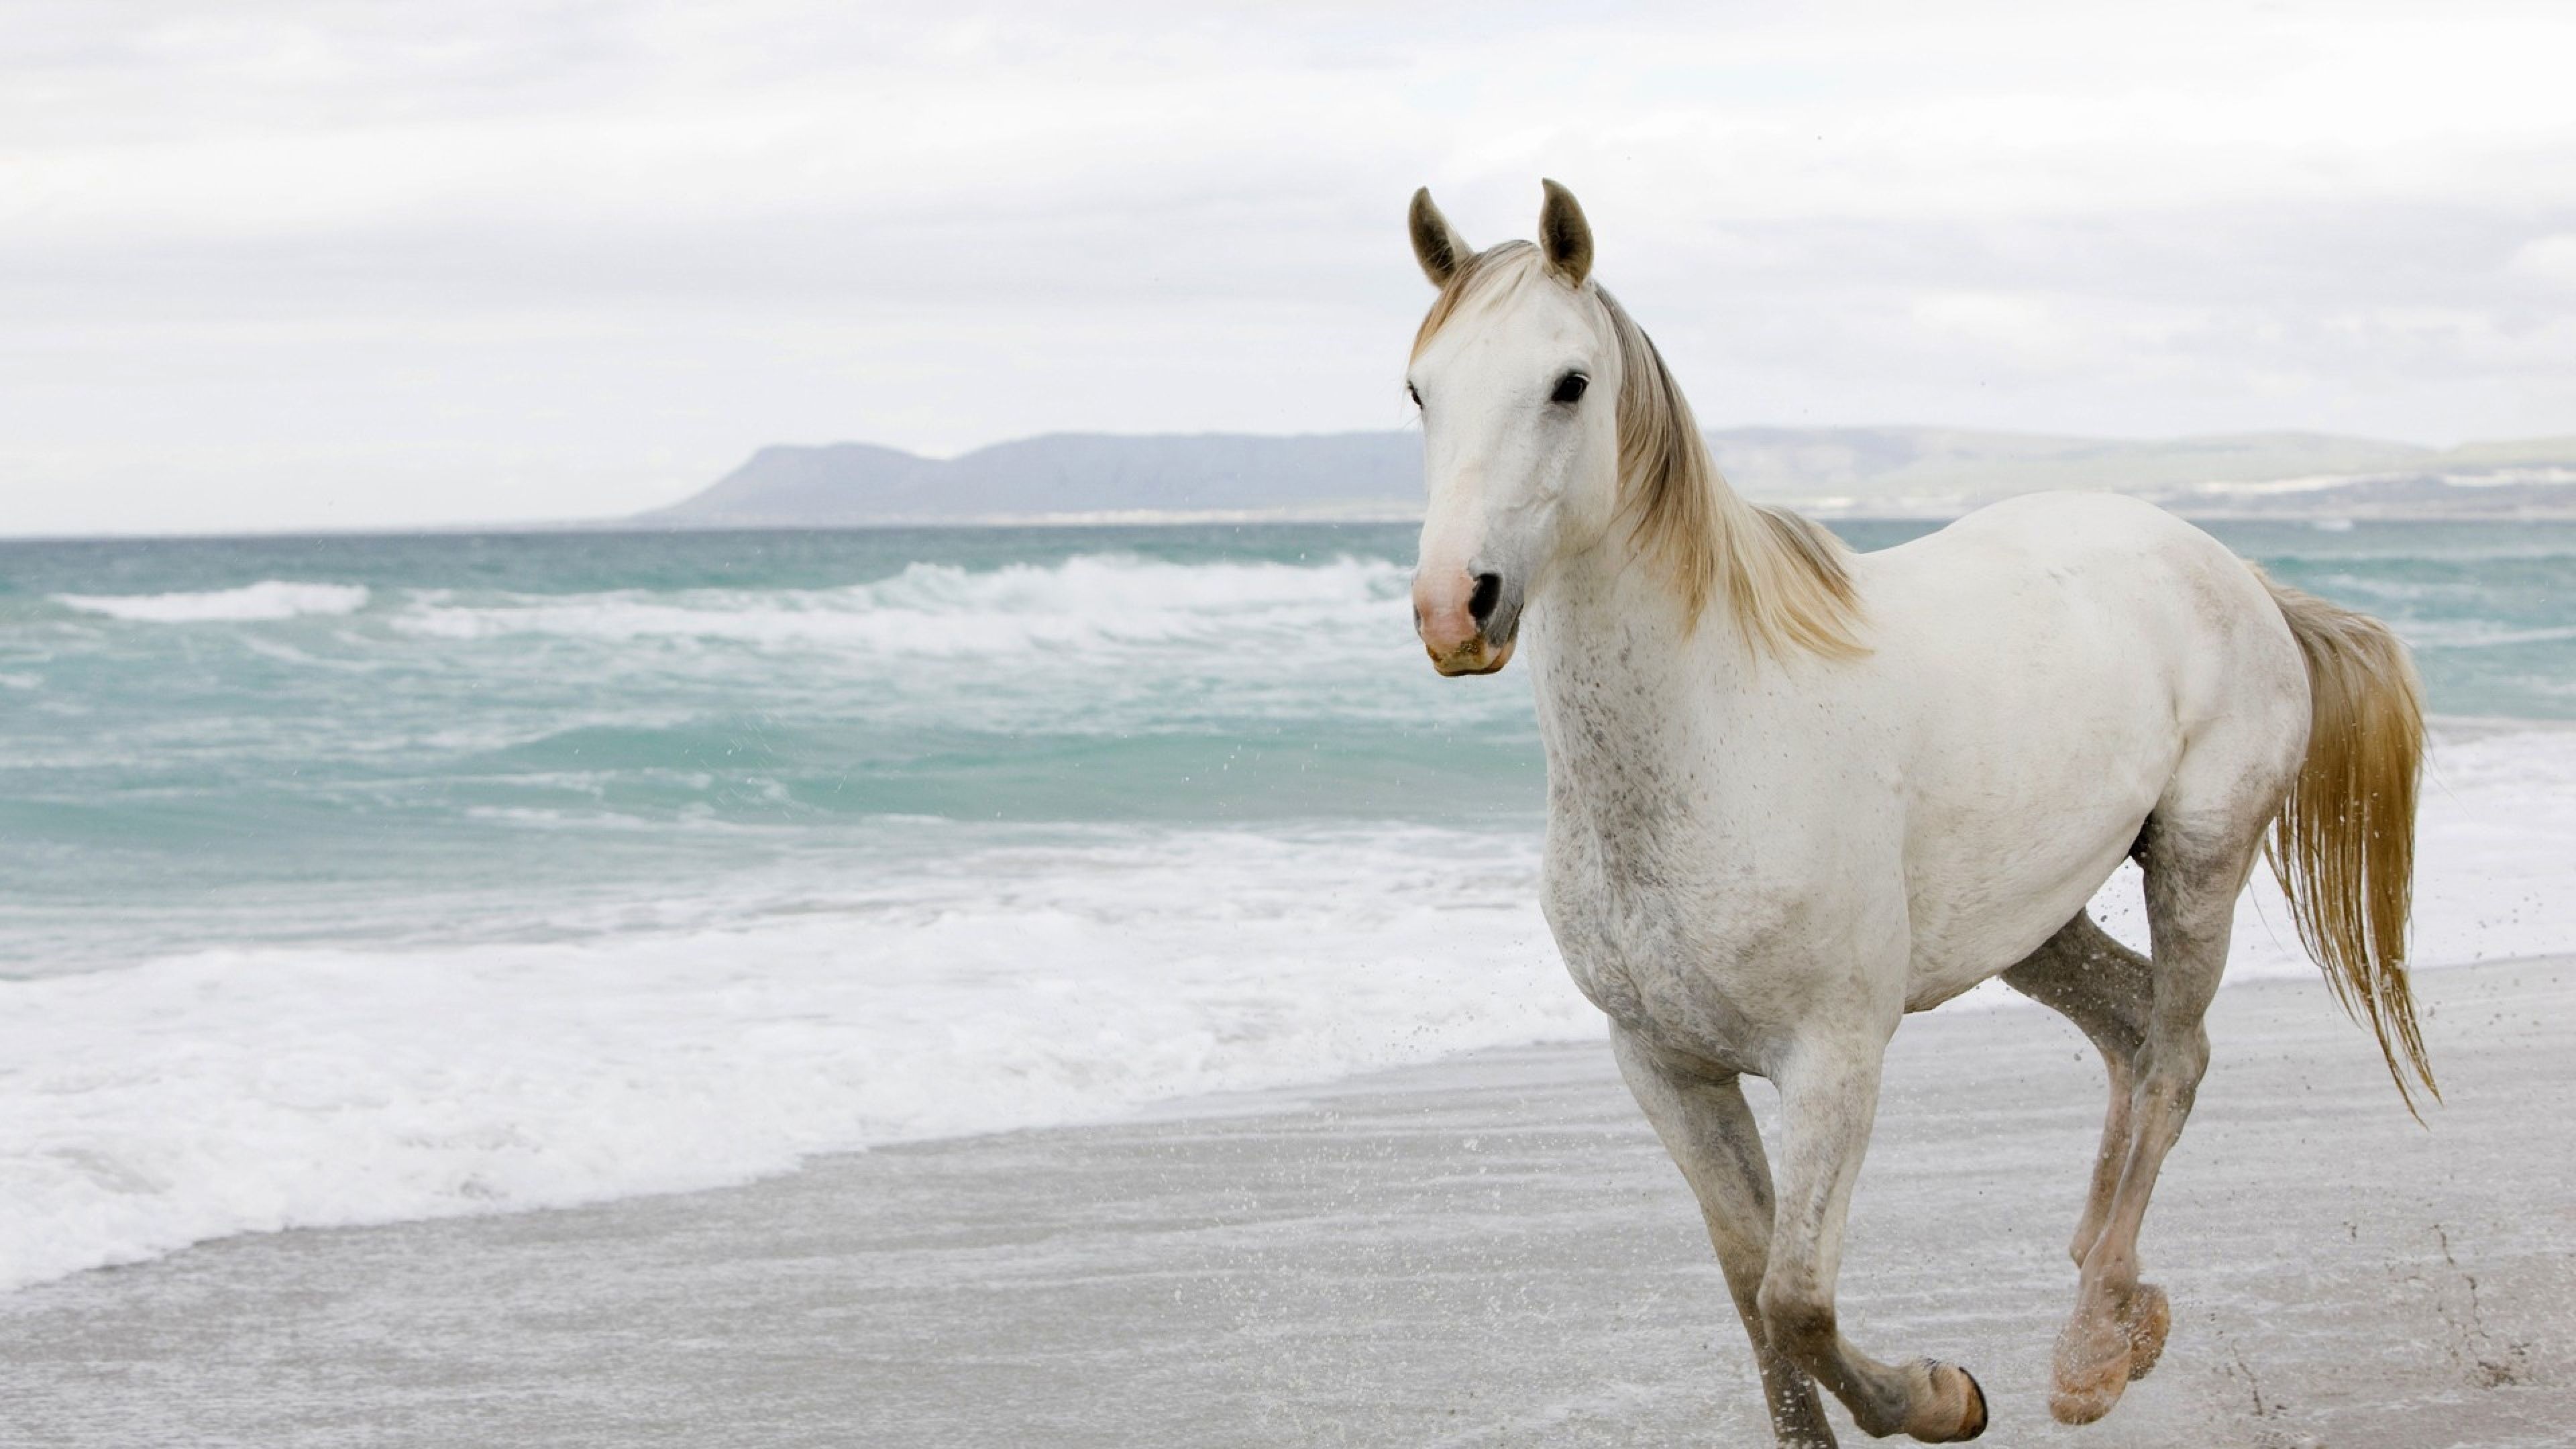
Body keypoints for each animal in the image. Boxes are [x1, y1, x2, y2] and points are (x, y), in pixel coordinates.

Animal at [1399, 180, 2432, 1446]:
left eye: (1569, 384)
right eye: (1421, 390)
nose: (1456, 606)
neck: (1714, 732)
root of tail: (2239, 575)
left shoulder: (1833, 1062)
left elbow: (1795, 1301)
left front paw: (1945, 1398)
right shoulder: (1666, 1068)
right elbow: (1751, 1294)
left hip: (2199, 859)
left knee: (2175, 1054)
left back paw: (2091, 1351)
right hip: (2032, 925)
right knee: (2133, 1032)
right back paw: (2117, 1298)